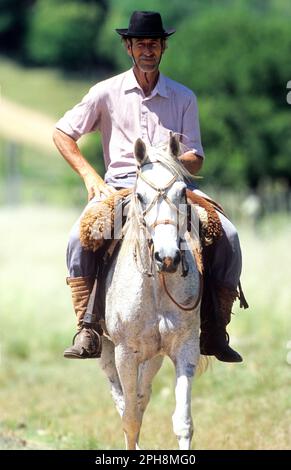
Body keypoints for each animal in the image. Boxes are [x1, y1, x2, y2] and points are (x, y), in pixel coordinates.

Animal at [98, 134, 203, 450]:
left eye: (182, 192)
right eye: (140, 196)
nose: (167, 258)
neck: (156, 287)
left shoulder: (185, 348)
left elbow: (183, 423)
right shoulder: (125, 354)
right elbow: (130, 420)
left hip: (153, 356)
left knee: (142, 398)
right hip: (106, 349)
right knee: (124, 401)